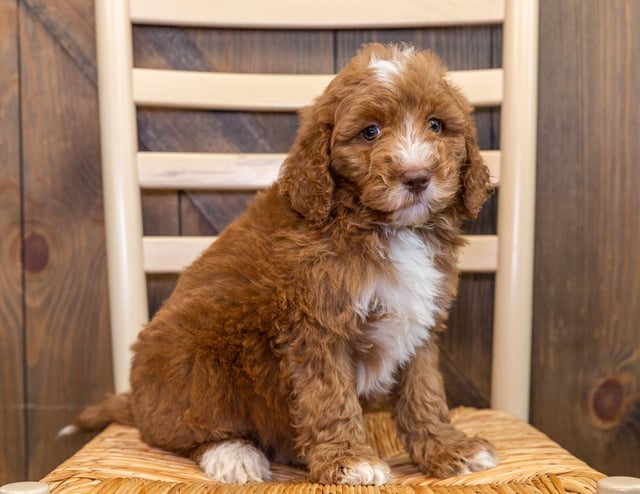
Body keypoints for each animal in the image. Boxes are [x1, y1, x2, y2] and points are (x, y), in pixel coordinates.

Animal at [72, 44, 498, 484]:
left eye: (436, 125)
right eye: (370, 132)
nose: (416, 177)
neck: (381, 226)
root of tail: (137, 405)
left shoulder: (419, 323)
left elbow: (424, 392)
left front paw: (449, 448)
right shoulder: (317, 326)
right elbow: (330, 397)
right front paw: (349, 459)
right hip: (194, 359)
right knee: (190, 427)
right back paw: (233, 453)